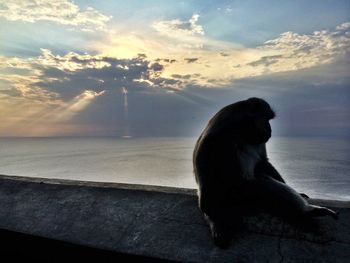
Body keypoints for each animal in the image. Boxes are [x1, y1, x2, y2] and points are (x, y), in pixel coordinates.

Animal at [193, 98, 338, 249]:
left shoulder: (257, 138)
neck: (240, 129)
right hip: (237, 196)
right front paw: (215, 220)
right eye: (266, 119)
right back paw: (307, 211)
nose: (270, 129)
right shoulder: (218, 135)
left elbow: (263, 162)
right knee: (259, 184)